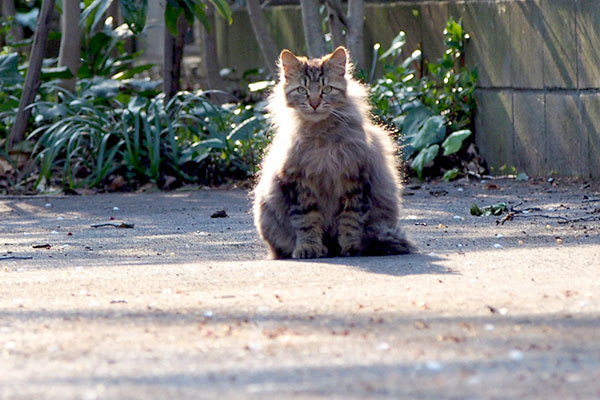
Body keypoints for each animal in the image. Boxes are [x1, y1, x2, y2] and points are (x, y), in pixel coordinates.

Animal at [252, 47, 412, 260]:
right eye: (302, 90)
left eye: (326, 89)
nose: (314, 103)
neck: (321, 142)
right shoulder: (298, 183)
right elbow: (306, 222)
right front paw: (308, 248)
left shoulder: (355, 180)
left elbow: (351, 221)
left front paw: (351, 247)